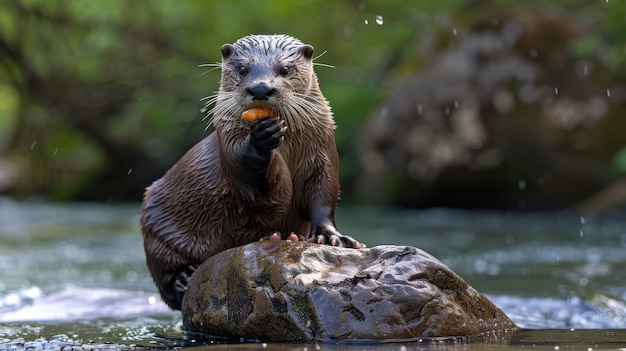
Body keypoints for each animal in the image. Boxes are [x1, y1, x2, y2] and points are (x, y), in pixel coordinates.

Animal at [139, 35, 364, 310]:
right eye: (243, 69)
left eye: (285, 69)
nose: (260, 89)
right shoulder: (228, 139)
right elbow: (255, 181)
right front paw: (262, 138)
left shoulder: (323, 156)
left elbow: (323, 195)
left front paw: (329, 236)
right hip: (155, 228)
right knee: (166, 279)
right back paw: (183, 278)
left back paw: (288, 236)